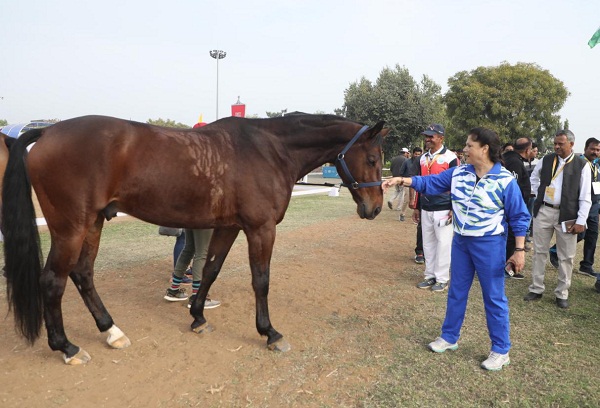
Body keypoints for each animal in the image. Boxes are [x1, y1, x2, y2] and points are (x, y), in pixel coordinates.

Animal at [2, 114, 386, 364]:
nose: (375, 208)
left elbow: (211, 269)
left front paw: (198, 317)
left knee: (83, 274)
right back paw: (66, 347)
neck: (268, 150)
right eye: (371, 158)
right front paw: (270, 333)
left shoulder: (229, 227)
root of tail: (47, 131)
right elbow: (261, 280)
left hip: (93, 223)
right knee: (53, 281)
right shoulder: (261, 228)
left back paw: (111, 331)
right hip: (71, 228)